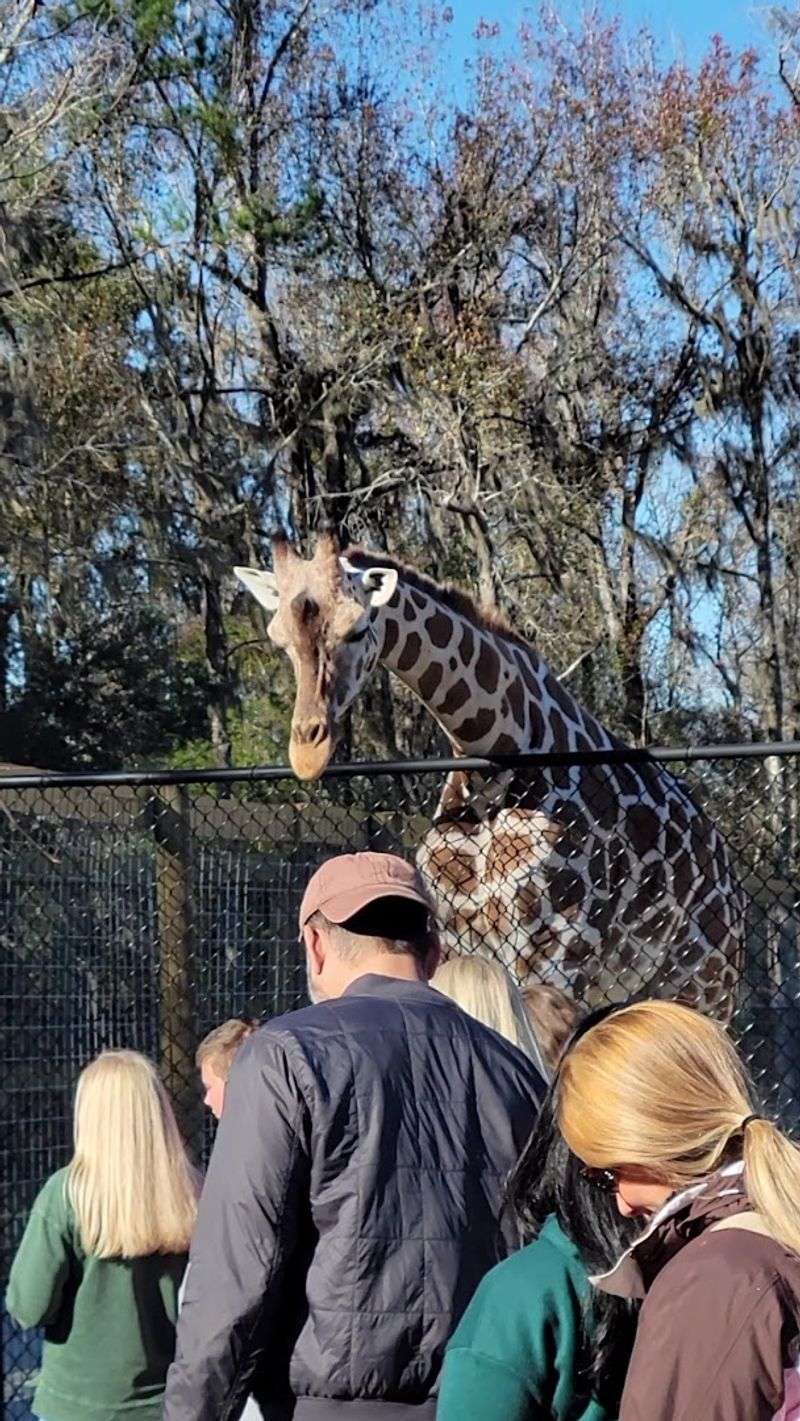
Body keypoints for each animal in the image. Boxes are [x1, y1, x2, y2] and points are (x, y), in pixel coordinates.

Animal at [235, 534, 743, 1021]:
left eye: (358, 629)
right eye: (278, 638)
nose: (308, 751)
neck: (497, 752)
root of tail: (726, 868)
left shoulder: (552, 947)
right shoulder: (455, 938)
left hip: (703, 981)